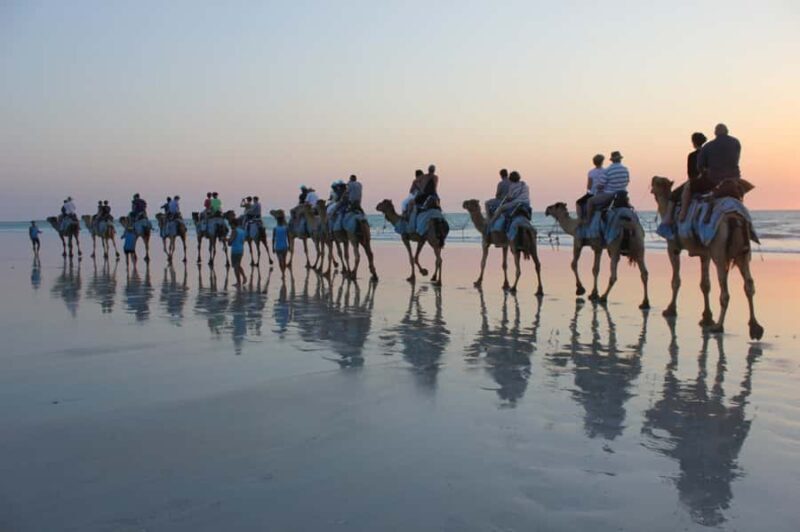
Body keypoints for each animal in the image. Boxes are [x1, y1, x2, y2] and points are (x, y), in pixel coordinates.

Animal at [650, 176, 762, 339]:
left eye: (658, 182)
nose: (653, 179)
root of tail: (736, 218)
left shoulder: (673, 248)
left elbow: (676, 281)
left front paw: (670, 310)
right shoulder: (705, 254)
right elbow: (705, 284)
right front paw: (706, 318)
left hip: (719, 251)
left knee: (725, 290)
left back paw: (719, 327)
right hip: (743, 254)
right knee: (749, 284)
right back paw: (755, 328)